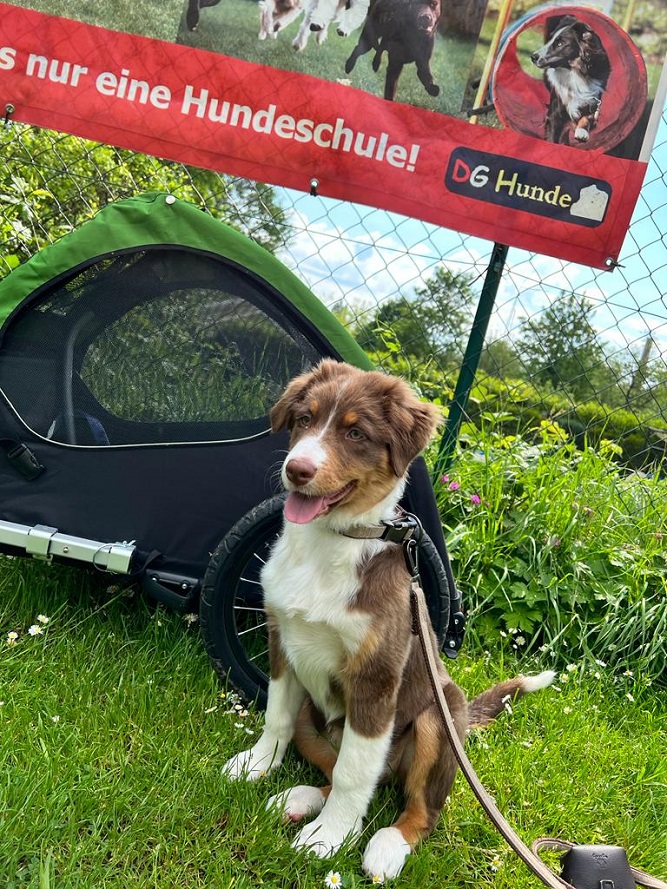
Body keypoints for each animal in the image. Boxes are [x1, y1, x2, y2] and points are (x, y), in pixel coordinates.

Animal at [224, 360, 552, 880]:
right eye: (304, 419)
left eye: (356, 433)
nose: (296, 469)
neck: (328, 544)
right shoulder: (281, 643)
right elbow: (276, 718)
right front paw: (254, 765)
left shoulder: (376, 678)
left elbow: (354, 772)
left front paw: (327, 838)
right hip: (313, 717)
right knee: (351, 773)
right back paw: (299, 799)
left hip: (437, 719)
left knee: (415, 805)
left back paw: (384, 844)